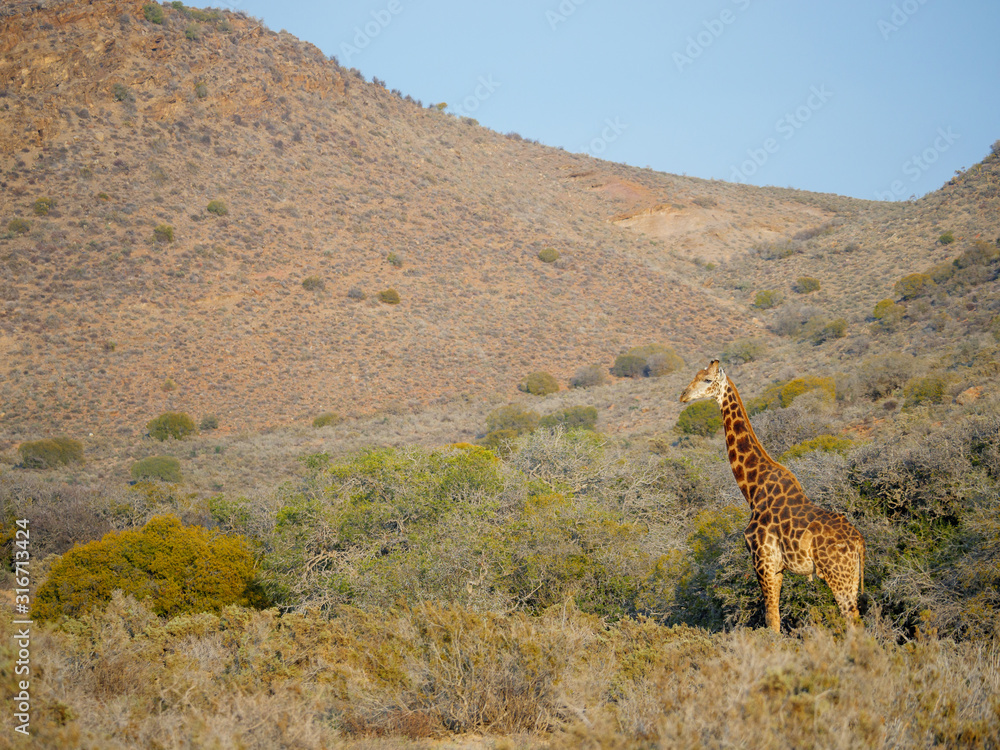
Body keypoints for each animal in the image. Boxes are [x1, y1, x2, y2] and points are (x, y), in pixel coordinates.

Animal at [680, 362, 868, 632]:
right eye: (695, 375)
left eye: (706, 379)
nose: (683, 395)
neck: (752, 490)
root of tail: (858, 542)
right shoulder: (775, 567)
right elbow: (774, 618)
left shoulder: (764, 562)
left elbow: (772, 620)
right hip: (851, 576)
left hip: (837, 575)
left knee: (852, 620)